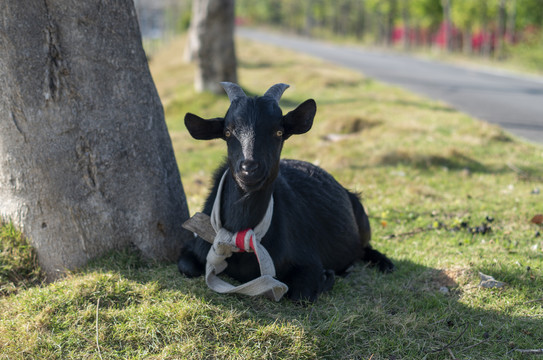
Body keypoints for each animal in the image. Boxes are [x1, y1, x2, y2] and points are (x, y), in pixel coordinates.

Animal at [178, 83, 396, 302]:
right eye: (228, 132)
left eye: (279, 132)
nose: (249, 168)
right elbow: (185, 266)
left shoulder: (308, 259)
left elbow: (302, 294)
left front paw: (327, 276)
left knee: (365, 247)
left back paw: (383, 263)